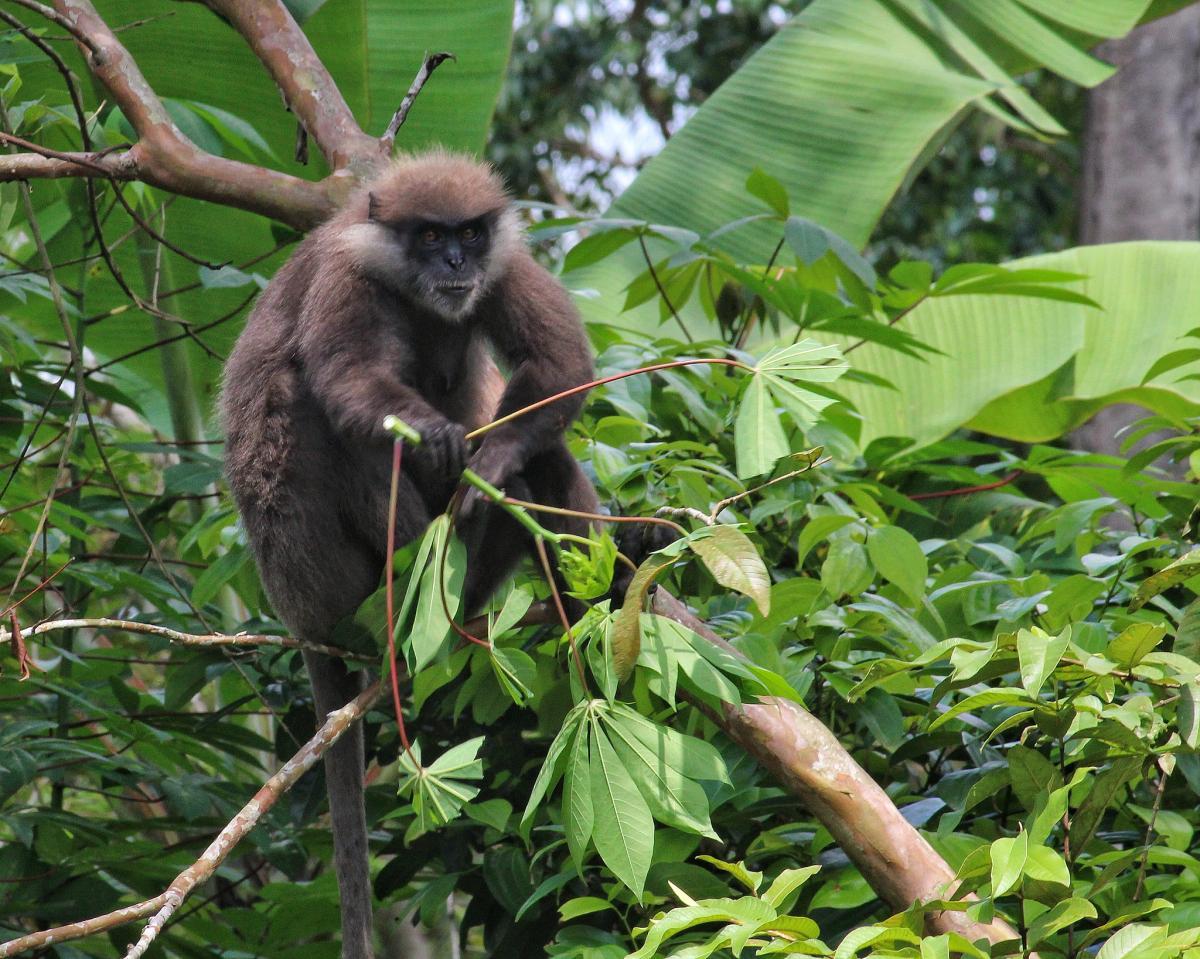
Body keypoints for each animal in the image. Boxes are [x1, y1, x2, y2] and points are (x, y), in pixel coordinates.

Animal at [218, 151, 597, 959]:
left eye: (468, 234)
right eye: (428, 236)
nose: (455, 263)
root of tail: (304, 619)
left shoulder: (503, 264)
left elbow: (560, 366)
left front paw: (494, 458)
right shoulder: (347, 275)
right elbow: (349, 381)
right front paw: (447, 442)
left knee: (540, 454)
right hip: (344, 586)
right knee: (315, 399)